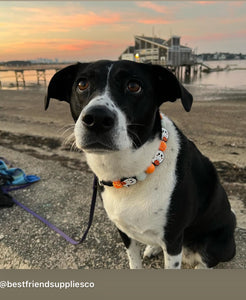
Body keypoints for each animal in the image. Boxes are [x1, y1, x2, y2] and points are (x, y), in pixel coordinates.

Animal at [44, 59, 236, 268]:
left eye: (134, 86)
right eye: (82, 84)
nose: (97, 119)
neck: (129, 174)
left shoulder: (173, 238)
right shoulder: (123, 229)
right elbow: (133, 260)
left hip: (218, 243)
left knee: (208, 260)